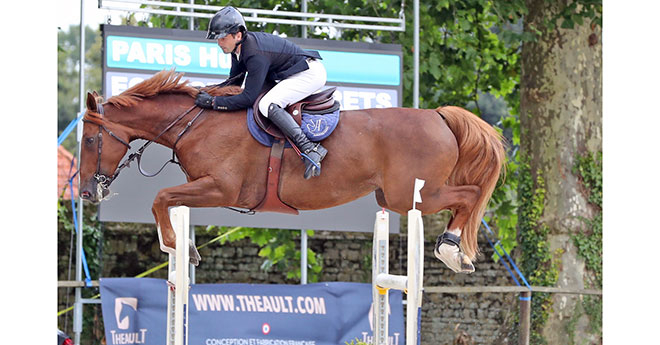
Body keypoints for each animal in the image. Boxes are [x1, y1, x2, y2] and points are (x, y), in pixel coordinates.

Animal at [77, 69, 506, 272]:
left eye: (90, 141)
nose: (86, 193)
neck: (196, 123)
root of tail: (438, 116)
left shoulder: (220, 188)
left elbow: (160, 197)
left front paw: (175, 246)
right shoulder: (205, 188)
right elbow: (166, 201)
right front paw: (184, 247)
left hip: (412, 194)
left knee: (468, 195)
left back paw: (451, 251)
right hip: (398, 196)